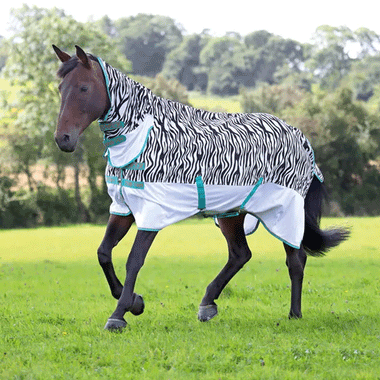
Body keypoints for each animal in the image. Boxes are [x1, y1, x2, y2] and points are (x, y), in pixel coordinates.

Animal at [52, 43, 348, 330]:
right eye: (60, 88)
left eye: (83, 87)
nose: (63, 139)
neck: (141, 136)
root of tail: (302, 140)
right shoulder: (123, 207)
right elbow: (103, 253)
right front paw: (135, 302)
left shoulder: (152, 211)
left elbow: (134, 260)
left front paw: (119, 314)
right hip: (231, 213)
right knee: (240, 255)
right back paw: (208, 304)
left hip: (284, 212)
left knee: (295, 260)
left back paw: (294, 314)